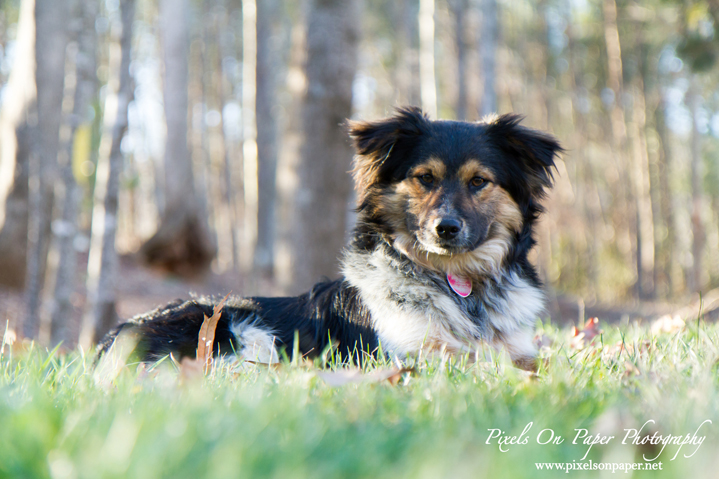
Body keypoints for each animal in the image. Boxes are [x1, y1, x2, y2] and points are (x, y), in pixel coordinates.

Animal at [98, 108, 564, 372]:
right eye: (424, 177)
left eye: (479, 181)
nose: (444, 229)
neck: (460, 285)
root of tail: (114, 335)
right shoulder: (408, 355)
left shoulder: (517, 349)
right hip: (239, 330)